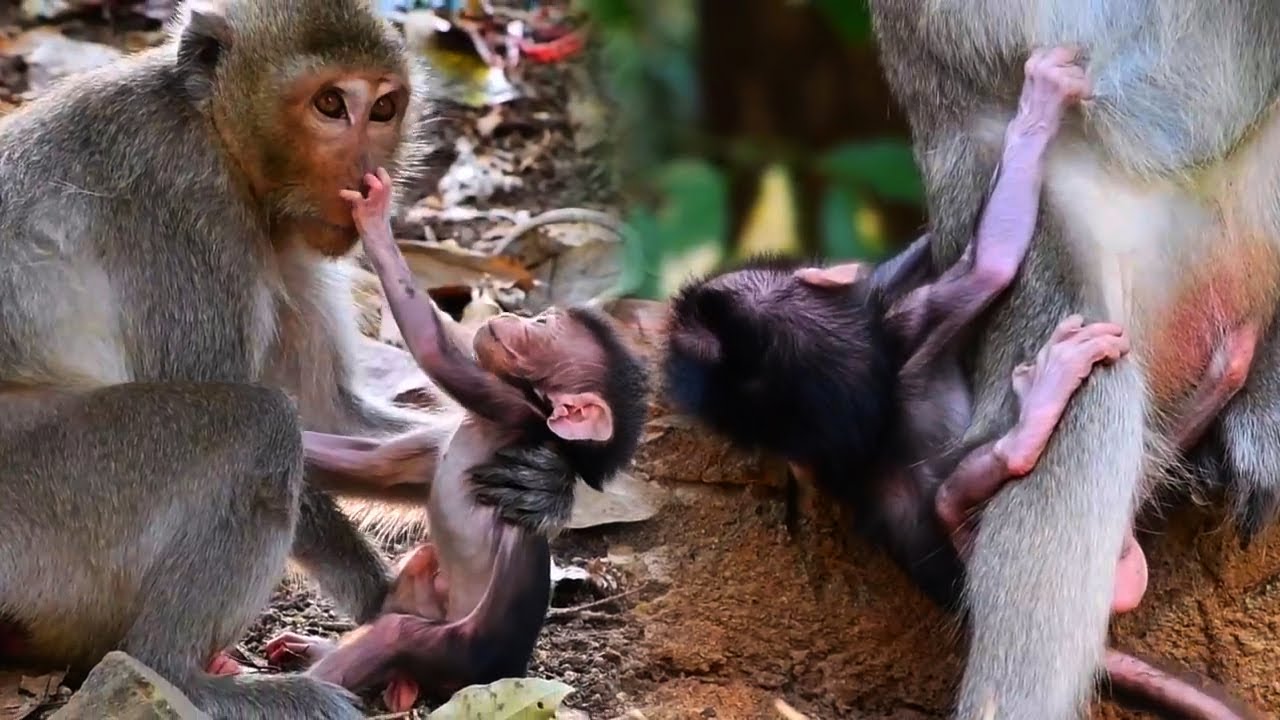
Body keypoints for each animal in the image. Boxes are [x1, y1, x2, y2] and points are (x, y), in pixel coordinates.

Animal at [0, 1, 566, 716]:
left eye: (384, 108)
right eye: (330, 103)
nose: (363, 177)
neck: (215, 130)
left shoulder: (293, 236)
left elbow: (333, 419)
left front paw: (547, 479)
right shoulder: (181, 200)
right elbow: (227, 390)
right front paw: (388, 604)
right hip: (46, 498)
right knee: (256, 425)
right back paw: (180, 675)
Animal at [257, 168, 650, 711]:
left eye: (543, 329)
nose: (512, 317)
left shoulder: (507, 407)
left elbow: (433, 349)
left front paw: (376, 218)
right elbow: (375, 465)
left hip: (456, 658)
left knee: (397, 635)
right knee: (413, 579)